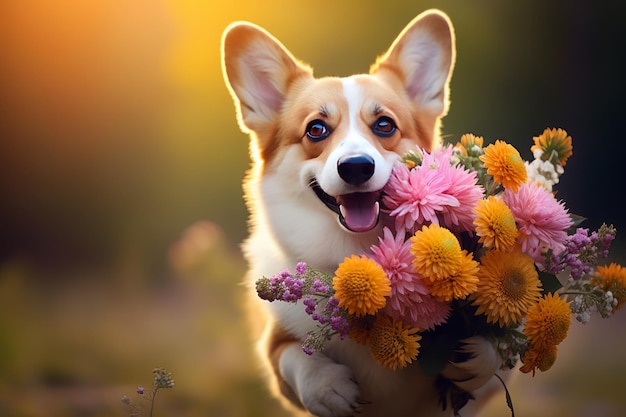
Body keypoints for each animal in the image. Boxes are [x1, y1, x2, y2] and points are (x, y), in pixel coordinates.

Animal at [221, 8, 502, 416]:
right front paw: (327, 387)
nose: (356, 167)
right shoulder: (275, 352)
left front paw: (474, 354)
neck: (359, 253)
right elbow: (296, 358)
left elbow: (493, 359)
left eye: (384, 124)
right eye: (316, 129)